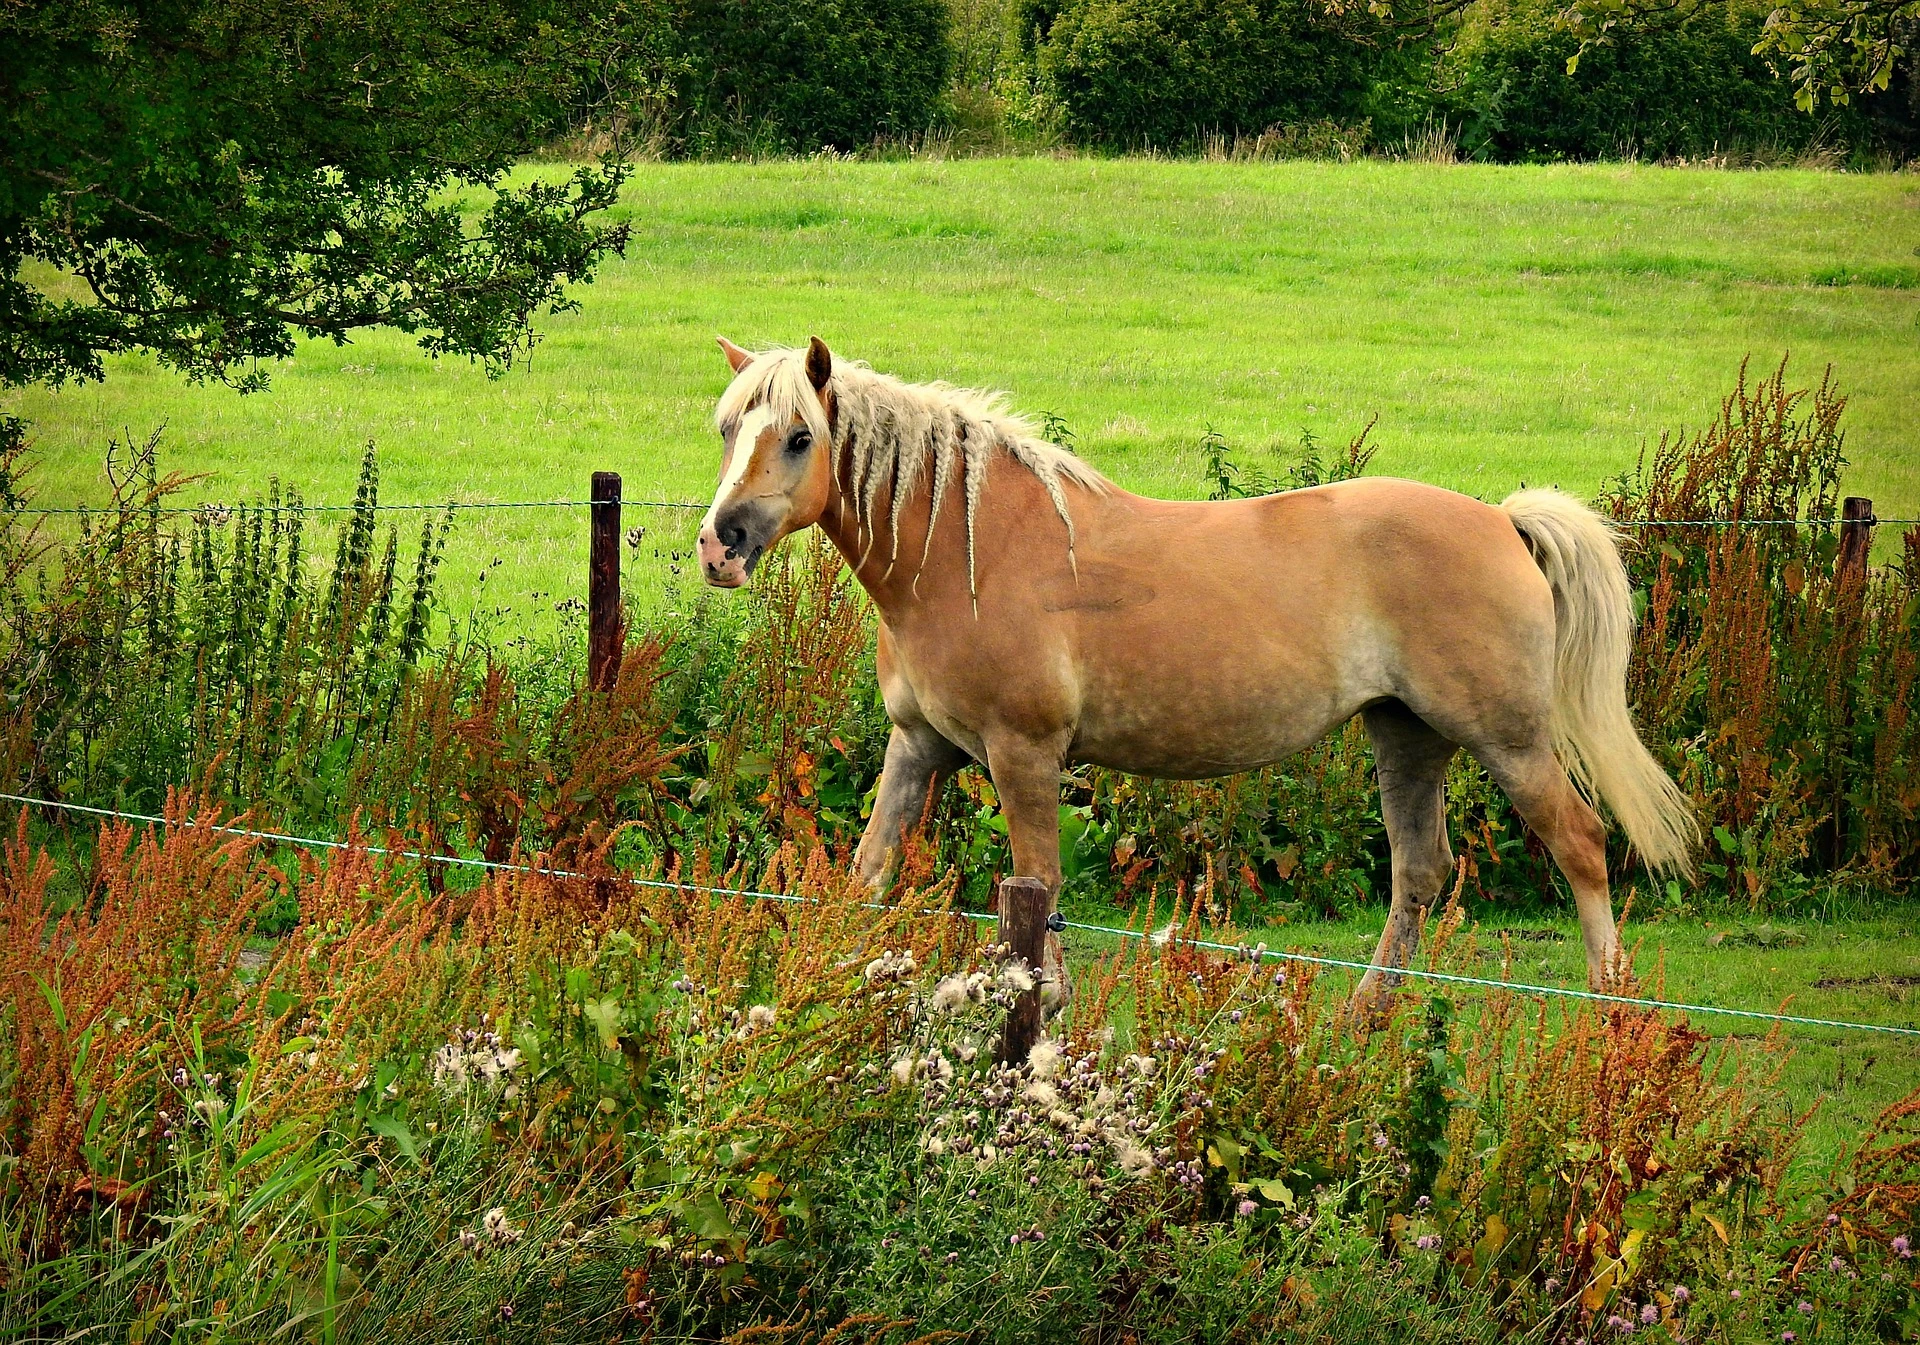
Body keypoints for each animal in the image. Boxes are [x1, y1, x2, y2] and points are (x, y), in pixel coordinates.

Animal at [695, 337, 1697, 1005]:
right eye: (727, 429)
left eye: (797, 437)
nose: (720, 544)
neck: (969, 550)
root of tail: (1502, 521)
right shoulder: (918, 747)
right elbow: (865, 877)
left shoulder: (1025, 755)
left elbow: (1040, 893)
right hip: (1408, 738)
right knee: (1420, 871)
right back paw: (1363, 1021)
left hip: (1508, 739)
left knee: (1582, 844)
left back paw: (1607, 1009)